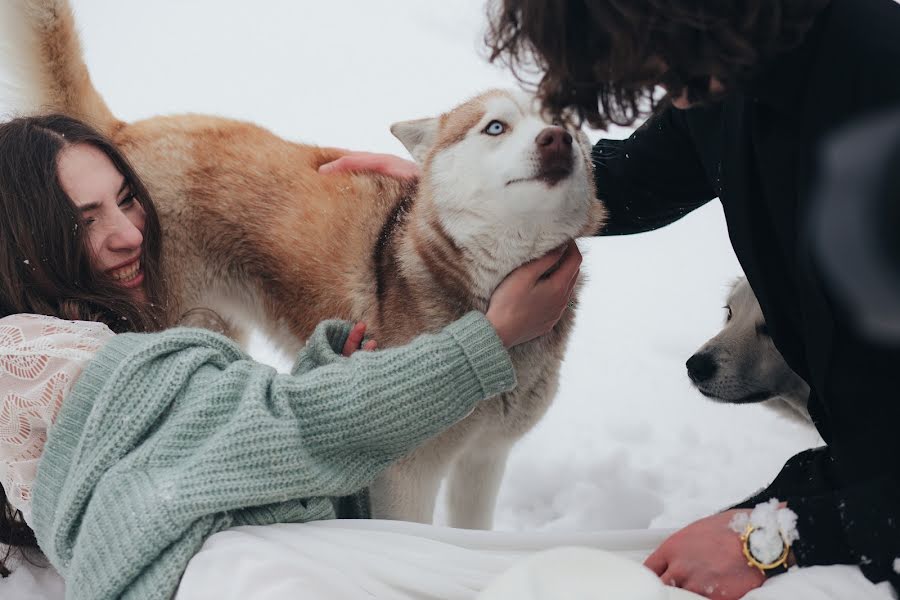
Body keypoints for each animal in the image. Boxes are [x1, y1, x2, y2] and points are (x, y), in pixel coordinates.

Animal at [3, 0, 608, 528]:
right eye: (495, 128)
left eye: (568, 127)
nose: (557, 139)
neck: (487, 290)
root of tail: (123, 133)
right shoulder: (406, 475)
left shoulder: (484, 461)